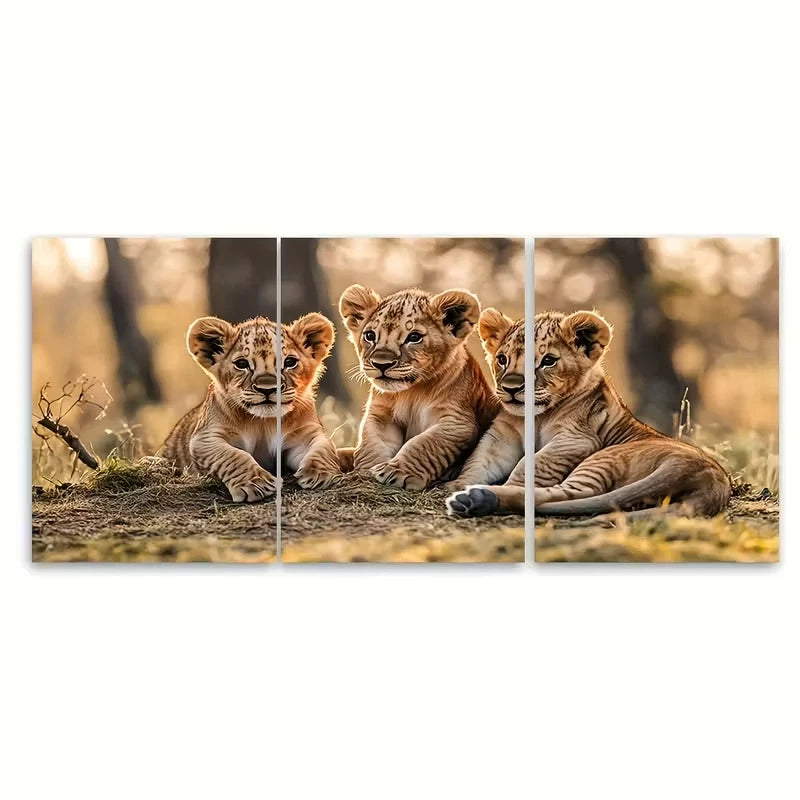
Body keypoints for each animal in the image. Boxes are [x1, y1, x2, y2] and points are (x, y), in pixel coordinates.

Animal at [161, 313, 341, 502]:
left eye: (290, 362)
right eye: (242, 364)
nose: (267, 388)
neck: (265, 422)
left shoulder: (305, 433)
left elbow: (324, 448)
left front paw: (321, 474)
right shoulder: (205, 437)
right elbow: (232, 456)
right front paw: (257, 483)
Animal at [338, 284, 501, 489]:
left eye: (414, 337)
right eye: (370, 335)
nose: (381, 364)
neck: (411, 392)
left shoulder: (457, 423)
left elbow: (423, 444)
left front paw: (396, 471)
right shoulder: (380, 415)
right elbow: (373, 442)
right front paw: (366, 470)